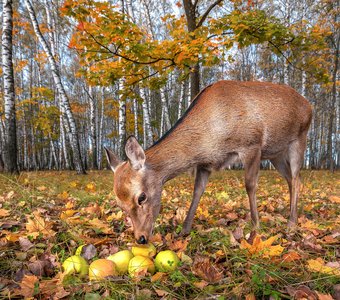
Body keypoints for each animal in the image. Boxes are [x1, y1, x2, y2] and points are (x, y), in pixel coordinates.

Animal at [105, 81, 312, 245]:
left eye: (142, 197)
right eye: (120, 205)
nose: (140, 238)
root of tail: (309, 105)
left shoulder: (251, 144)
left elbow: (250, 185)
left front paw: (256, 227)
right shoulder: (205, 164)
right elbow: (197, 191)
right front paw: (184, 230)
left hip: (299, 139)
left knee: (296, 178)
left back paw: (291, 224)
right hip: (276, 154)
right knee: (290, 179)